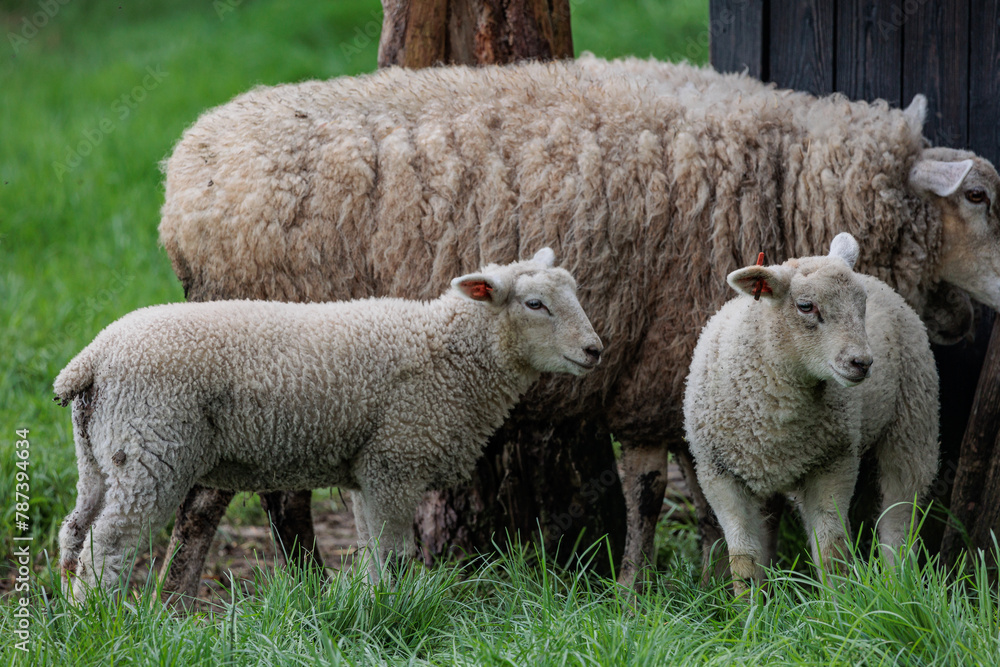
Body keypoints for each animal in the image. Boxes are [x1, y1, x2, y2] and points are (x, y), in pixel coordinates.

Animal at [53, 249, 603, 601]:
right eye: (535, 304)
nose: (595, 350)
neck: (449, 353)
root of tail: (91, 358)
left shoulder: (368, 468)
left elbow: (373, 547)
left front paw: (372, 602)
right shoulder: (396, 461)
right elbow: (392, 551)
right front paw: (389, 608)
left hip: (101, 454)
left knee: (75, 531)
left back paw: (72, 615)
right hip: (152, 449)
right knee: (110, 542)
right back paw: (100, 616)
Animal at [683, 233, 939, 594]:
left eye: (862, 304)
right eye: (806, 306)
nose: (862, 363)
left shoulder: (834, 463)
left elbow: (831, 554)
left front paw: (838, 602)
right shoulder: (718, 474)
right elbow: (744, 559)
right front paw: (749, 606)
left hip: (913, 422)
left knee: (899, 517)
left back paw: (896, 583)